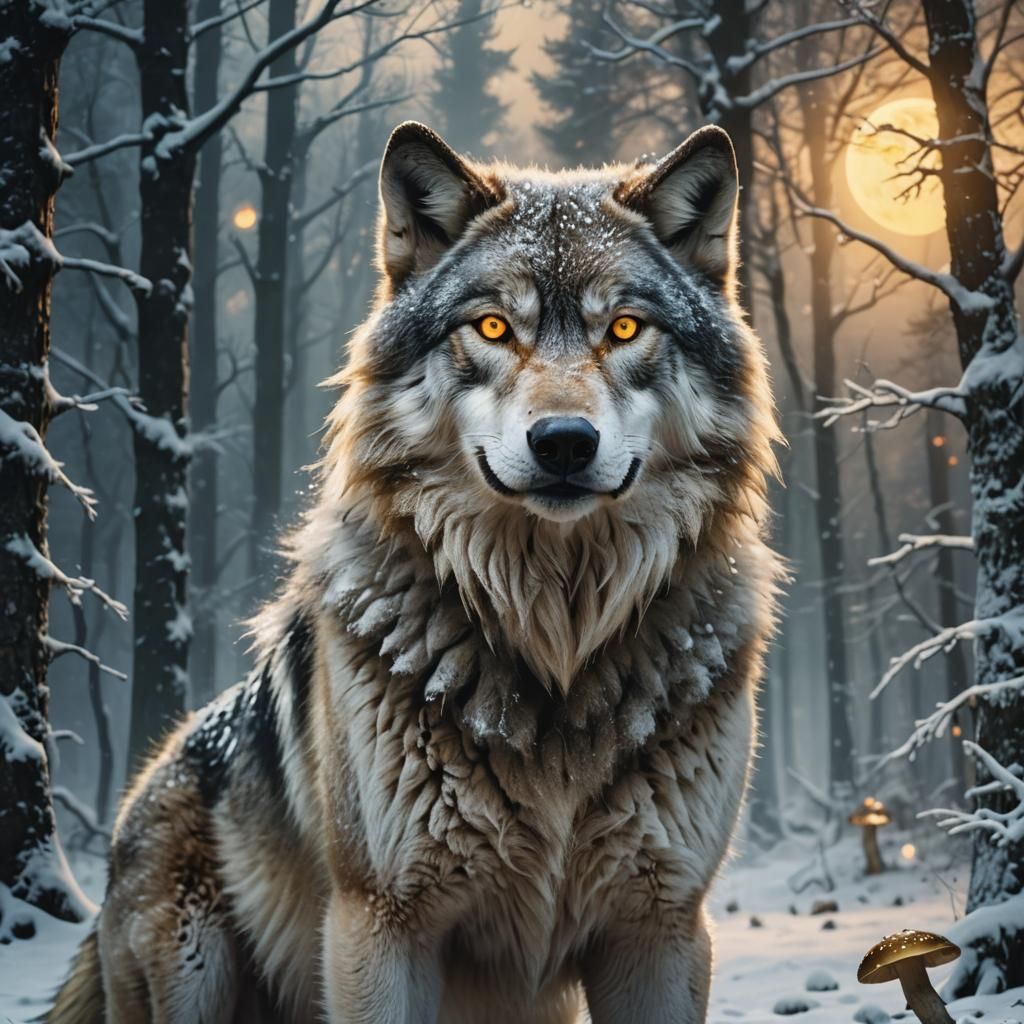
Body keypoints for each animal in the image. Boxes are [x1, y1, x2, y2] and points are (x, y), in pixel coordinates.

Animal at [48, 120, 780, 1024]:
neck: (555, 640)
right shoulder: (381, 925)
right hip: (194, 977)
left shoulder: (662, 929)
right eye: (493, 328)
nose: (564, 443)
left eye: (624, 330)